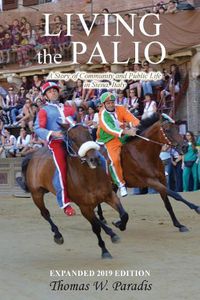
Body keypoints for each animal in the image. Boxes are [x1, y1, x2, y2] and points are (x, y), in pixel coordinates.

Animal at [18, 123, 129, 258]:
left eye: (89, 133)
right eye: (72, 139)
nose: (95, 159)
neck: (90, 178)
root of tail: (33, 156)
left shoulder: (108, 195)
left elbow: (124, 215)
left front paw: (119, 225)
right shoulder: (84, 206)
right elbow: (95, 228)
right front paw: (105, 251)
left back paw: (111, 233)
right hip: (37, 194)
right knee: (45, 213)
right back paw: (58, 235)